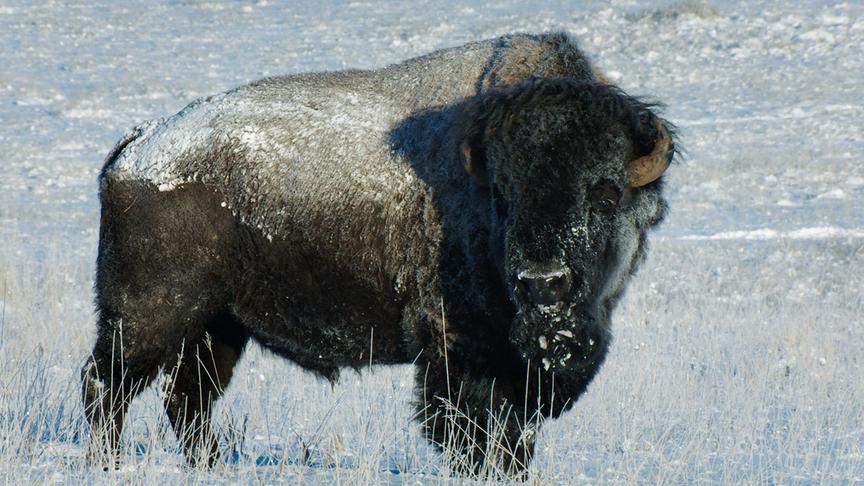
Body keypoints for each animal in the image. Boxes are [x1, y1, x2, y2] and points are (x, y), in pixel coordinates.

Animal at [82, 32, 675, 476]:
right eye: (503, 195)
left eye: (605, 192)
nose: (542, 281)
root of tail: (137, 148)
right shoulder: (458, 356)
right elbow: (470, 435)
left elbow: (514, 441)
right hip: (145, 320)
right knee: (107, 387)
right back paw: (106, 464)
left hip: (219, 327)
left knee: (187, 399)